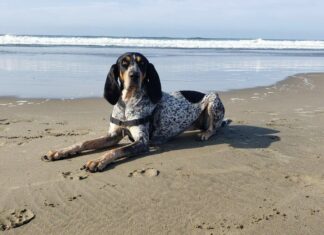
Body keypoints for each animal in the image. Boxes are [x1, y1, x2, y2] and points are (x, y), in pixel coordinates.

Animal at [42, 52, 230, 172]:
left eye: (142, 64)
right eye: (124, 64)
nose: (134, 75)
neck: (127, 103)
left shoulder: (142, 141)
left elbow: (115, 151)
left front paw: (98, 160)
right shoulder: (113, 136)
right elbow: (84, 142)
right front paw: (62, 151)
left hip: (214, 100)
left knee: (215, 128)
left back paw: (206, 133)